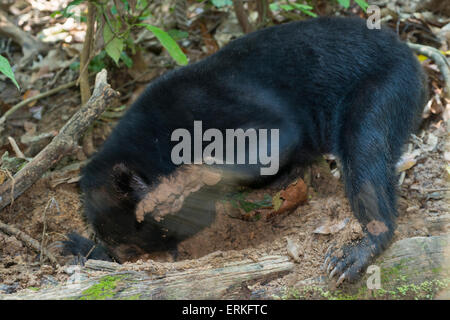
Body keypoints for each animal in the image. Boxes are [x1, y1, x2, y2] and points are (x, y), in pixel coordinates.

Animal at [62, 16, 426, 284]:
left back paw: (355, 251)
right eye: (122, 250)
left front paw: (178, 188)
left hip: (384, 82)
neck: (154, 140)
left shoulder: (220, 104)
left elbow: (275, 136)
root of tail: (403, 46)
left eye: (137, 244)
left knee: (365, 150)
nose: (125, 260)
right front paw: (76, 245)